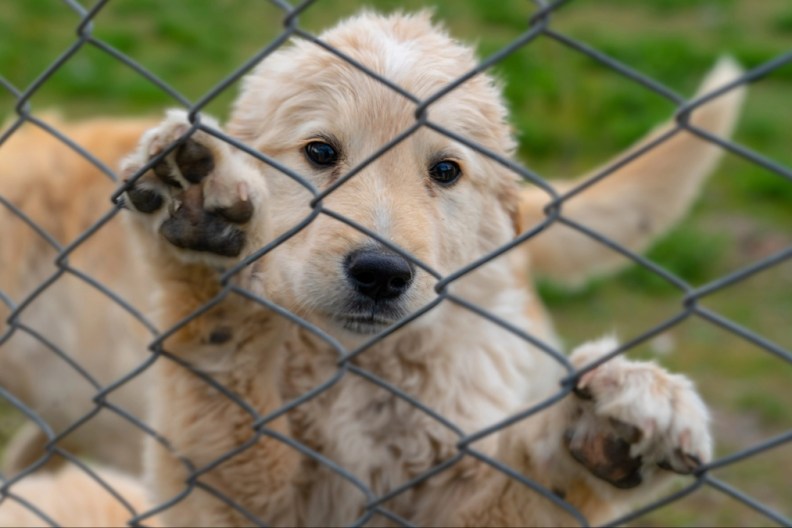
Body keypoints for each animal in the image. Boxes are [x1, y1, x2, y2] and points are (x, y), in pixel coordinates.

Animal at [0, 8, 744, 528]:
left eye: (445, 171)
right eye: (321, 152)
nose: (383, 273)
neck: (359, 376)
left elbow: (534, 490)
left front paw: (600, 432)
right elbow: (215, 385)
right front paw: (207, 255)